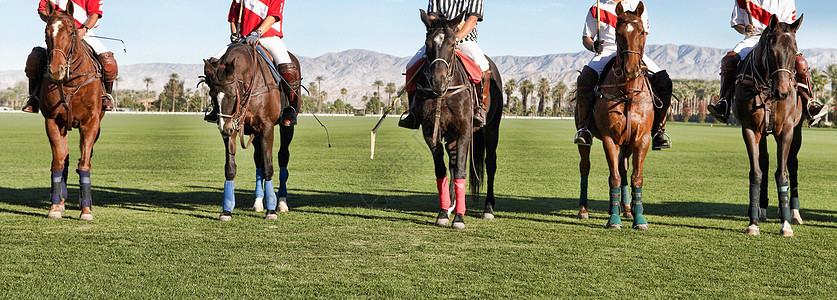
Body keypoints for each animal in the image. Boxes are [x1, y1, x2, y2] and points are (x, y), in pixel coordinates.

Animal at [38, 1, 106, 219]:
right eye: (46, 32)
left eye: (71, 32)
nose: (55, 70)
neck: (69, 82)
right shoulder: (52, 121)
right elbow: (58, 163)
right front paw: (54, 207)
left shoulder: (90, 122)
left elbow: (84, 163)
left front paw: (86, 209)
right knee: (65, 159)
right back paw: (61, 201)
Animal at [202, 42, 300, 220]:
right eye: (211, 95)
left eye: (234, 95)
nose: (224, 129)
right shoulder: (234, 126)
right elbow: (230, 167)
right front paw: (226, 210)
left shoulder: (267, 127)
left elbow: (269, 167)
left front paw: (271, 211)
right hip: (254, 133)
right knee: (258, 159)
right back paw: (258, 202)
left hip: (286, 126)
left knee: (283, 157)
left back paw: (282, 202)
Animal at [414, 9, 502, 230]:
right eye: (427, 44)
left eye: (453, 44)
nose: (437, 81)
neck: (444, 93)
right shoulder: (431, 131)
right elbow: (442, 170)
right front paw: (443, 213)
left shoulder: (464, 129)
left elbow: (462, 170)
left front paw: (459, 218)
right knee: (453, 161)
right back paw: (452, 205)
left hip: (492, 128)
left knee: (490, 163)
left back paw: (488, 209)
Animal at [736, 14, 808, 237]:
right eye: (770, 51)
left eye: (794, 50)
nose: (783, 92)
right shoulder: (750, 129)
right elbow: (757, 172)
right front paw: (753, 222)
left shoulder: (786, 130)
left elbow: (782, 173)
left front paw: (785, 224)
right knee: (765, 162)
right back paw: (762, 209)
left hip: (797, 131)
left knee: (792, 163)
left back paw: (793, 213)